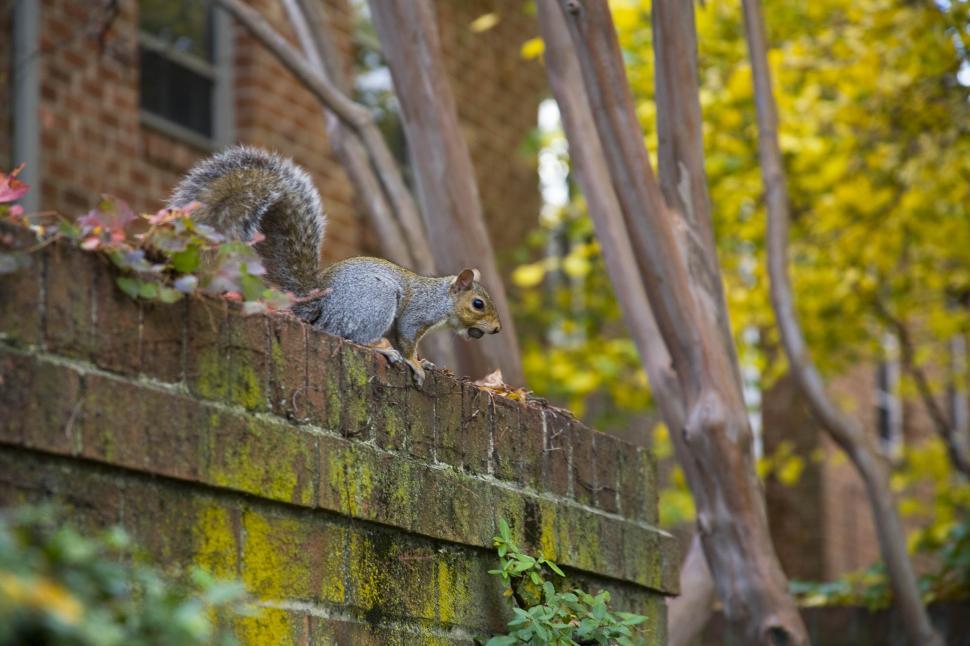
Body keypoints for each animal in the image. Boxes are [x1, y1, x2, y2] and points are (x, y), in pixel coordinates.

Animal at [168, 146, 501, 386]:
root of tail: (320, 308)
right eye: (478, 304)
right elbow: (407, 339)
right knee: (351, 336)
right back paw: (380, 347)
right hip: (376, 301)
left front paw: (425, 361)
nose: (497, 329)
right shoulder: (417, 314)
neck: (442, 299)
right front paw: (415, 364)